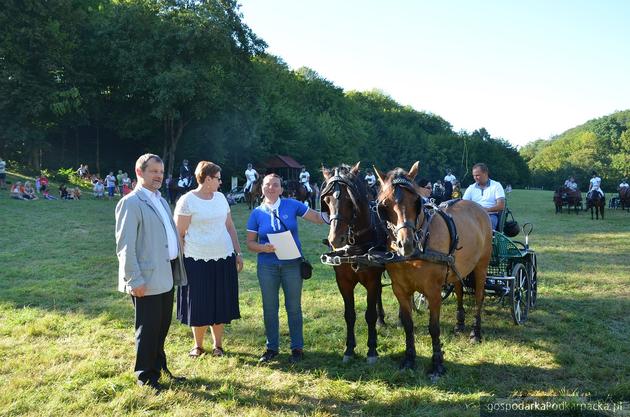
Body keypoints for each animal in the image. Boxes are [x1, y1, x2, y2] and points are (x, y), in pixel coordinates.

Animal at [324, 161, 388, 362]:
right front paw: (349, 349)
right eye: (327, 200)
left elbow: (369, 314)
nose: (335, 239)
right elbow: (349, 315)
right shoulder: (343, 281)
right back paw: (382, 320)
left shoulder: (372, 280)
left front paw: (372, 350)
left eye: (349, 200)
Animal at [376, 162, 494, 376]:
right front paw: (409, 359)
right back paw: (459, 325)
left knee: (479, 297)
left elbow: (434, 327)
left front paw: (437, 363)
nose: (406, 244)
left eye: (416, 200)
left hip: (482, 265)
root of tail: (478, 208)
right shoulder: (400, 289)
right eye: (385, 204)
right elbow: (408, 325)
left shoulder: (433, 290)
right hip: (456, 268)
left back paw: (475, 332)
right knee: (459, 290)